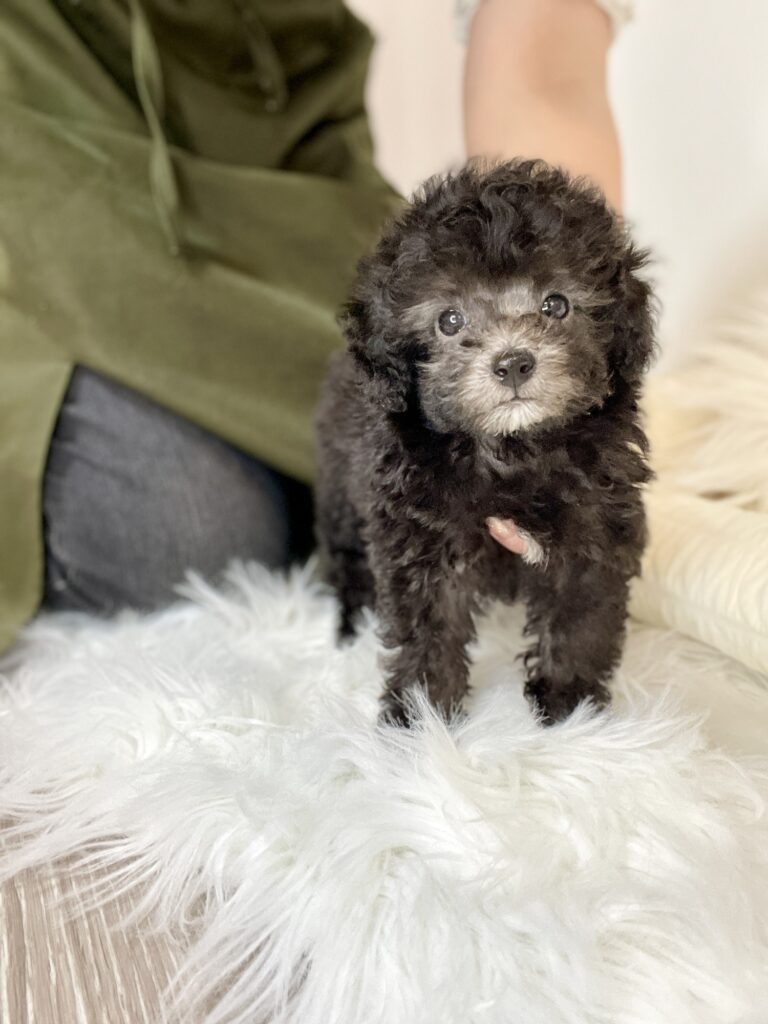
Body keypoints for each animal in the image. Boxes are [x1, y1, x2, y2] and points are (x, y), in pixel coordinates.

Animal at [315, 160, 655, 725]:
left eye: (556, 304)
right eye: (449, 320)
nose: (513, 362)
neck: (507, 449)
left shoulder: (595, 527)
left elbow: (579, 619)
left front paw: (570, 706)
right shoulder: (421, 539)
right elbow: (428, 627)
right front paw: (420, 716)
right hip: (341, 488)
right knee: (346, 555)